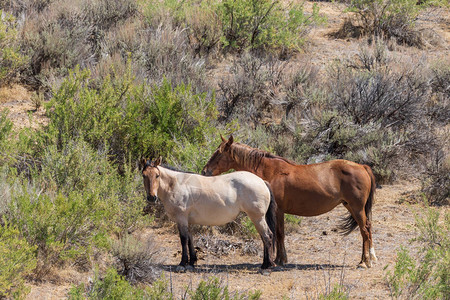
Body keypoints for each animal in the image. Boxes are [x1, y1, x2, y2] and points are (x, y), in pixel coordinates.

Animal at [142, 158, 278, 270]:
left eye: (157, 176)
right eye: (144, 175)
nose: (151, 197)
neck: (175, 184)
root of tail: (262, 181)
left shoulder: (181, 219)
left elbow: (183, 239)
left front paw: (183, 263)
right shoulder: (187, 221)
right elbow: (190, 239)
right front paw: (192, 262)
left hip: (257, 218)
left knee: (267, 236)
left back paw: (267, 265)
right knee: (264, 237)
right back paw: (265, 263)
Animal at [202, 135, 378, 268]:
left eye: (218, 153)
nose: (204, 171)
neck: (271, 171)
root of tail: (362, 166)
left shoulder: (278, 210)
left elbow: (279, 233)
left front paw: (279, 260)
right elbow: (280, 233)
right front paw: (281, 259)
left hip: (357, 208)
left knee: (365, 230)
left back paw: (365, 262)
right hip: (351, 207)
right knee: (367, 229)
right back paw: (368, 258)